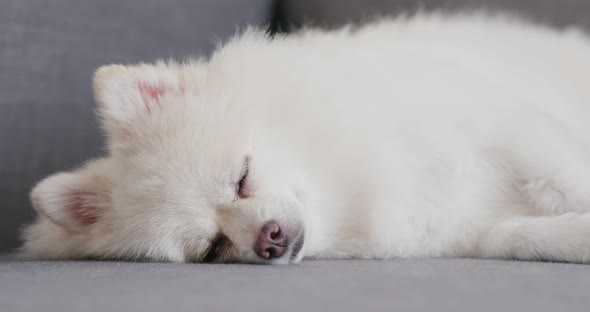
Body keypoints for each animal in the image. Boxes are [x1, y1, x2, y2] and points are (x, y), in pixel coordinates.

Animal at [22, 13, 590, 264]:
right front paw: (575, 236)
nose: (268, 238)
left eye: (241, 177)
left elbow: (565, 178)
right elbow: (514, 236)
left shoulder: (510, 130)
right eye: (214, 248)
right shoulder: (463, 229)